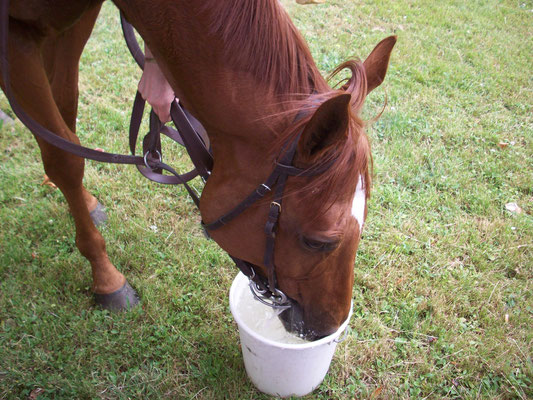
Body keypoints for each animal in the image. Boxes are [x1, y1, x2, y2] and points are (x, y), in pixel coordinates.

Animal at [1, 0, 394, 340]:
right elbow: (64, 157)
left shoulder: (74, 24)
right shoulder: (18, 34)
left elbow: (64, 112)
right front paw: (107, 278)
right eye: (317, 241)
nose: (330, 326)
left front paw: (85, 203)